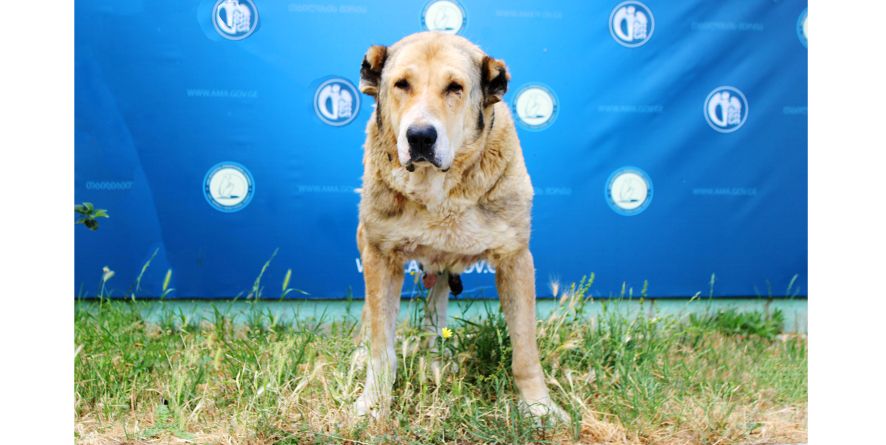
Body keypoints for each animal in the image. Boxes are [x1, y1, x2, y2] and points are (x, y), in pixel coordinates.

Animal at [354, 31, 568, 420]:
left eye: (455, 88)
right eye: (401, 84)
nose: (420, 136)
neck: (439, 190)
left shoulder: (515, 258)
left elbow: (525, 352)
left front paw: (539, 407)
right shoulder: (379, 254)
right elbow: (382, 346)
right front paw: (374, 403)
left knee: (436, 305)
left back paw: (436, 355)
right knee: (370, 315)